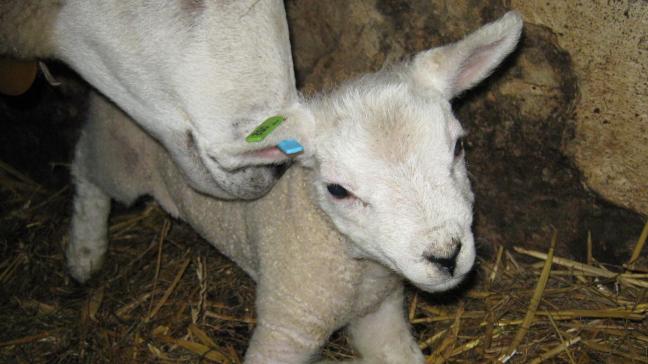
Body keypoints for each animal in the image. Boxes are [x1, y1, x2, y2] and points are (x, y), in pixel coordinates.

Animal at [67, 9, 520, 364]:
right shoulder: (287, 328)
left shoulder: (380, 313)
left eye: (458, 147)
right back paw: (84, 251)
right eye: (337, 190)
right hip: (119, 158)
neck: (356, 268)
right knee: (85, 168)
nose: (446, 256)